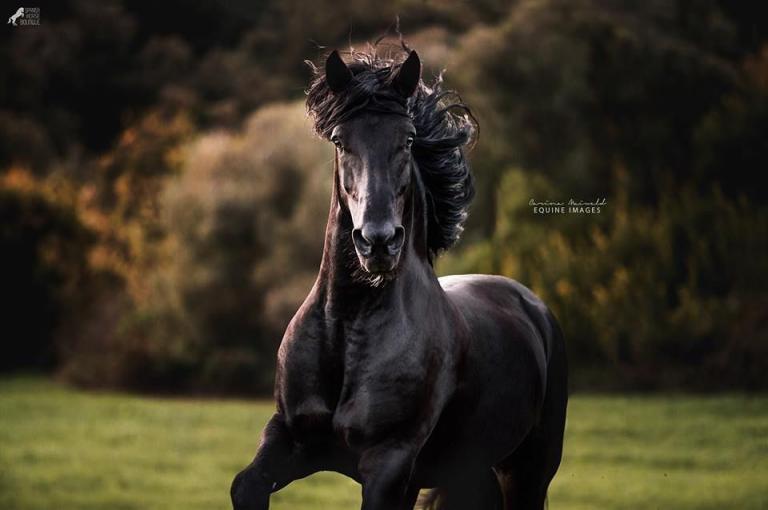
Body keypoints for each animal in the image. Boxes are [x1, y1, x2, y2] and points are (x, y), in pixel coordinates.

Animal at [231, 45, 568, 510]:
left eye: (407, 140)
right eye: (340, 140)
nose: (378, 242)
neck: (348, 325)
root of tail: (532, 305)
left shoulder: (390, 461)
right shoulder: (288, 436)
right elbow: (245, 485)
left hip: (528, 468)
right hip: (469, 470)